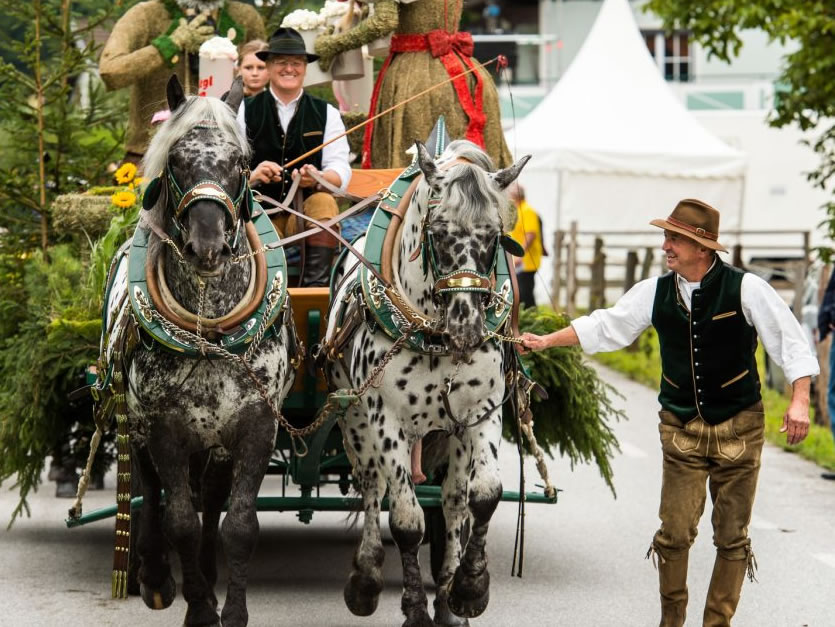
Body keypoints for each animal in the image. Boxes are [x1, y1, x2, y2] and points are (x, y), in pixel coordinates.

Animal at [69, 78, 300, 627]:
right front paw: (195, 607)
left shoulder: (256, 423)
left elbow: (238, 523)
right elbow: (178, 520)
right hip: (134, 419)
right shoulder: (164, 427)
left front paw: (229, 609)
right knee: (150, 492)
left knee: (210, 498)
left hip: (214, 440)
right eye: (176, 159)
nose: (208, 246)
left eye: (240, 160)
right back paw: (154, 575)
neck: (208, 332)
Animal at [322, 120, 548, 624]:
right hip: (355, 420)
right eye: (440, 233)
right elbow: (407, 518)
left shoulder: (481, 412)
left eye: (494, 236)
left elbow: (482, 496)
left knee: (452, 500)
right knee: (372, 485)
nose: (467, 324)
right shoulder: (386, 420)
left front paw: (466, 589)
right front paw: (414, 608)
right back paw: (366, 578)